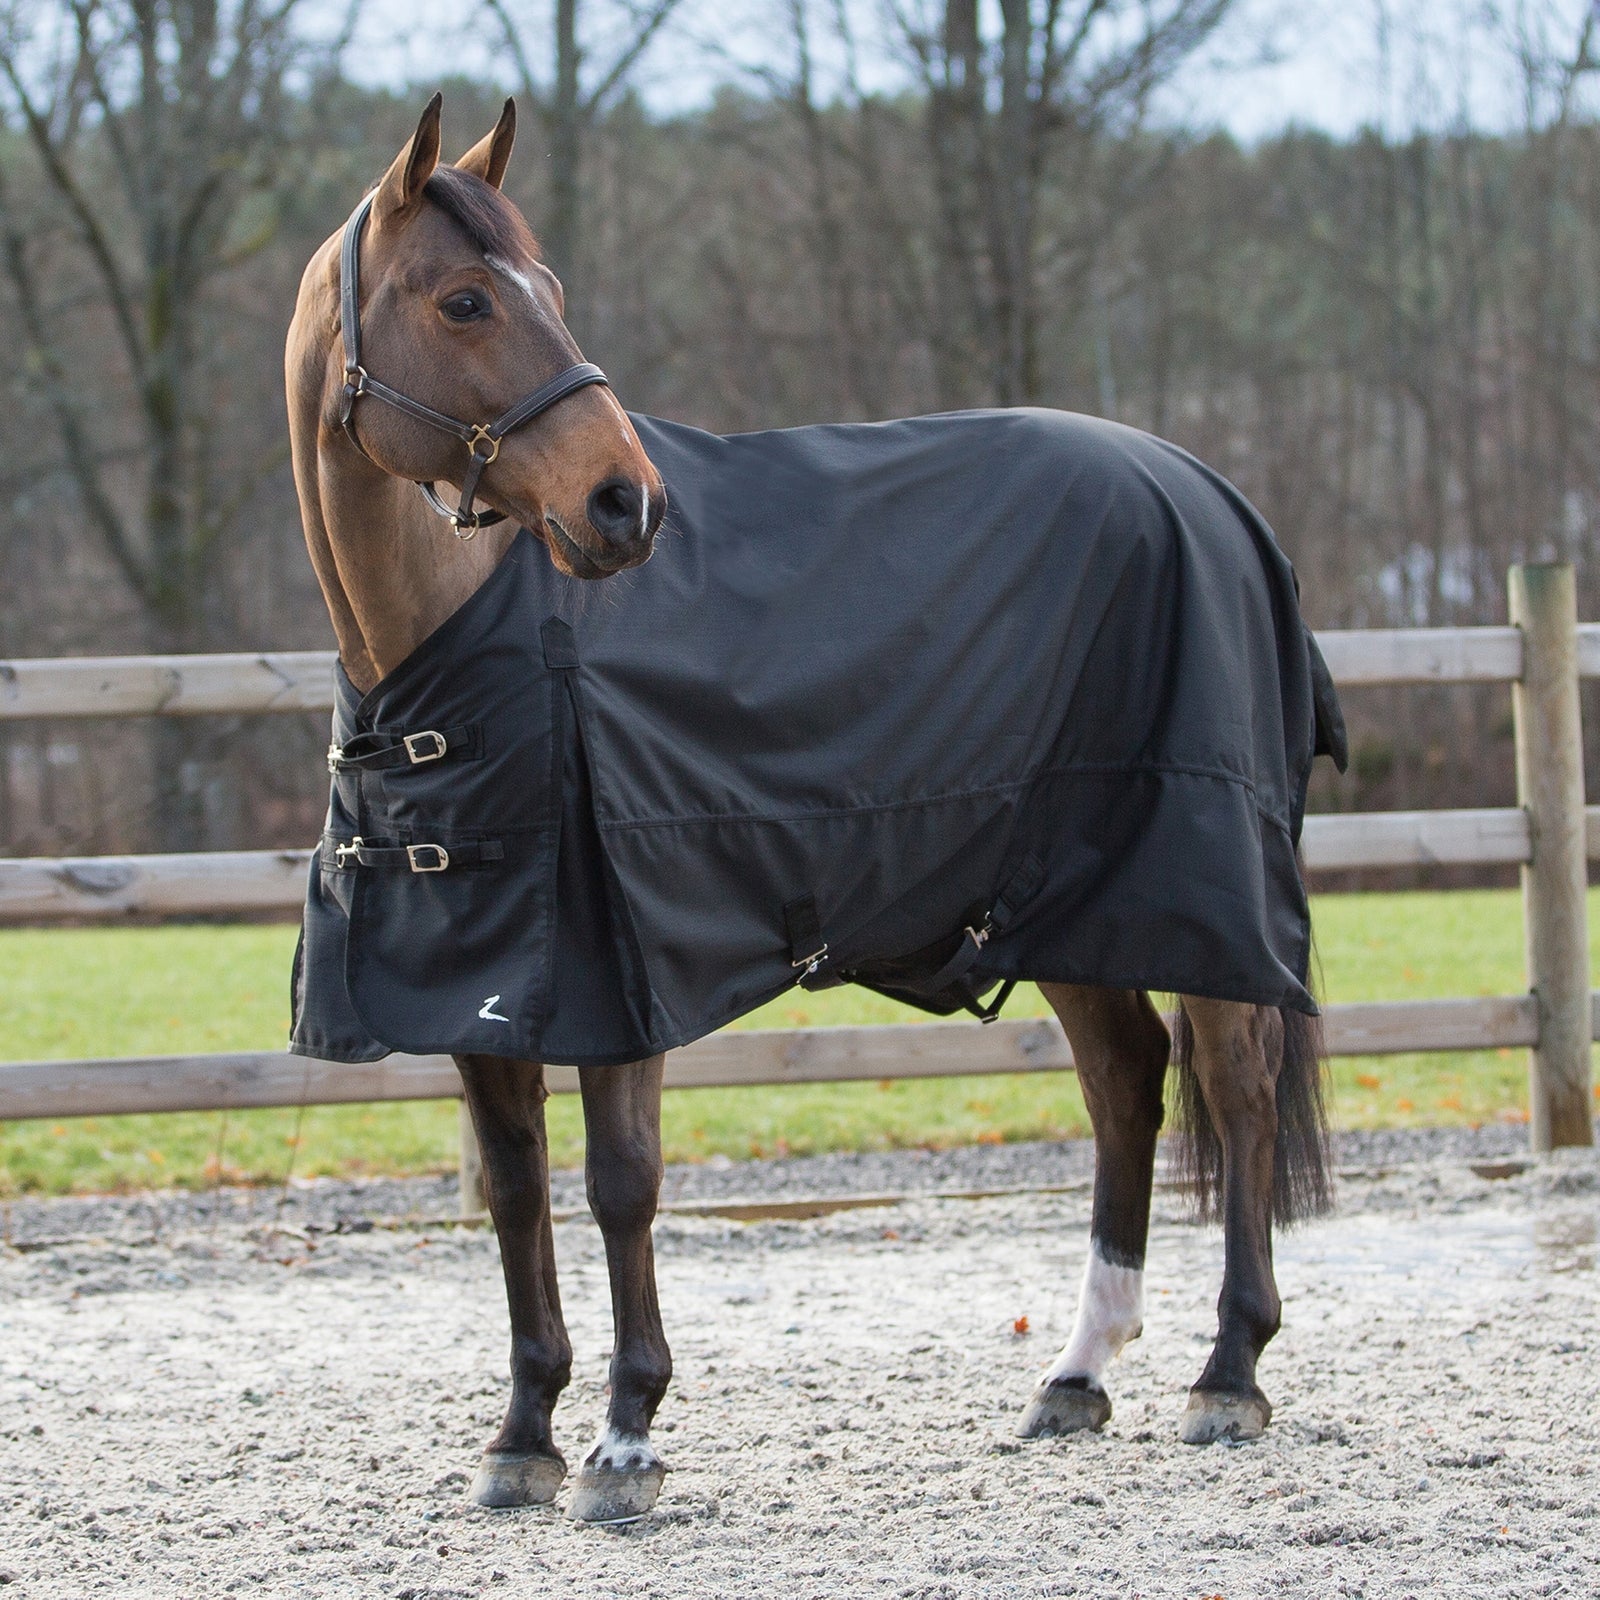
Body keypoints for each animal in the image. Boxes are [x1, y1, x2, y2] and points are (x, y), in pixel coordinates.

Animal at [284, 94, 1339, 1524]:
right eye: (463, 300)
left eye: (548, 290)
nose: (625, 502)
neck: (464, 639)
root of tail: (1211, 493)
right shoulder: (485, 996)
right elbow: (513, 1195)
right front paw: (523, 1435)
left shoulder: (623, 977)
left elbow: (621, 1187)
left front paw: (625, 1439)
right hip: (1070, 903)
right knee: (1126, 1084)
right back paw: (1074, 1374)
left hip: (1198, 889)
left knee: (1232, 1087)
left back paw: (1227, 1373)